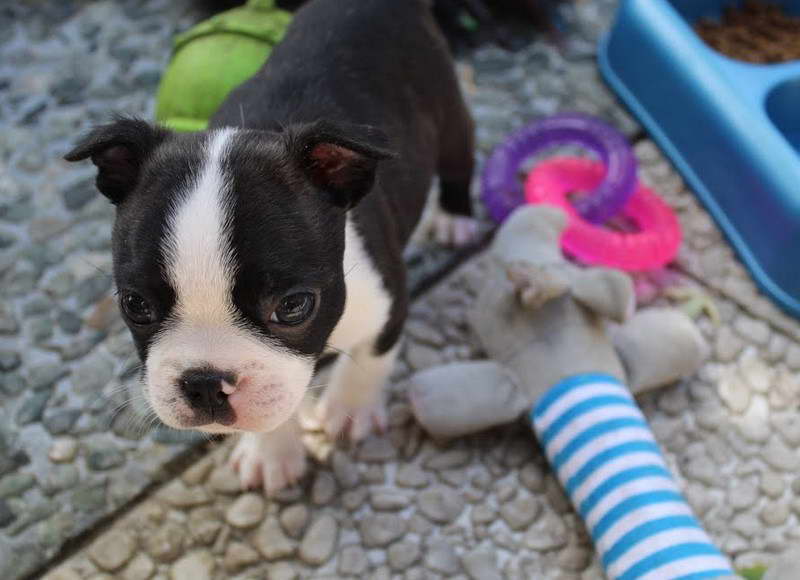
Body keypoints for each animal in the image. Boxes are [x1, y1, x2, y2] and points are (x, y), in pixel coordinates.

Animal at [67, 0, 476, 494]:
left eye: (293, 306)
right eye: (135, 305)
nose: (205, 382)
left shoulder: (389, 300)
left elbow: (371, 358)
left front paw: (349, 410)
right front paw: (271, 452)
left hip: (448, 110)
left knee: (459, 158)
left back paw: (454, 216)